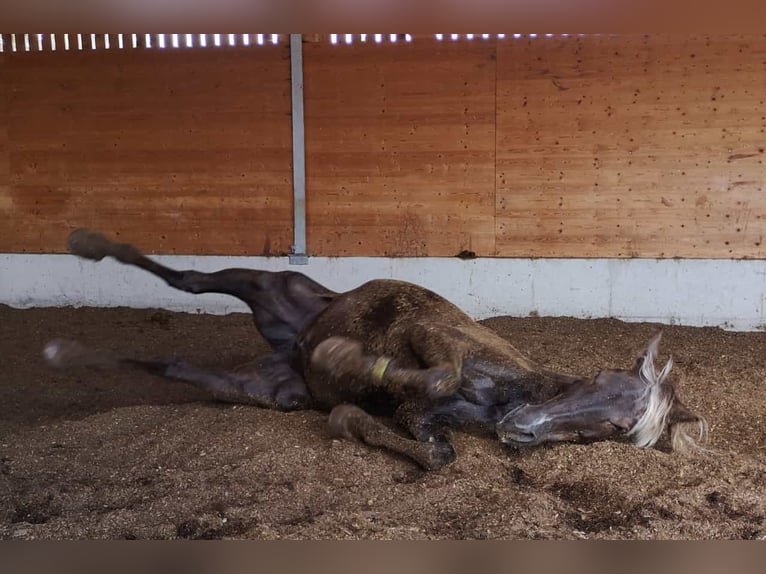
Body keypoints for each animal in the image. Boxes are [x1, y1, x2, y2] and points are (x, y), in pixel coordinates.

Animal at [43, 229, 708, 470]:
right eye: (597, 378)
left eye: (616, 427)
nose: (521, 429)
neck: (500, 394)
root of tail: (295, 342)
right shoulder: (435, 337)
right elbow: (436, 374)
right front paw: (353, 362)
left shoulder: (420, 418)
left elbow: (434, 452)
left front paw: (351, 417)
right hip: (268, 283)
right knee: (187, 280)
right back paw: (90, 250)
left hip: (261, 389)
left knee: (177, 364)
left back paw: (69, 353)